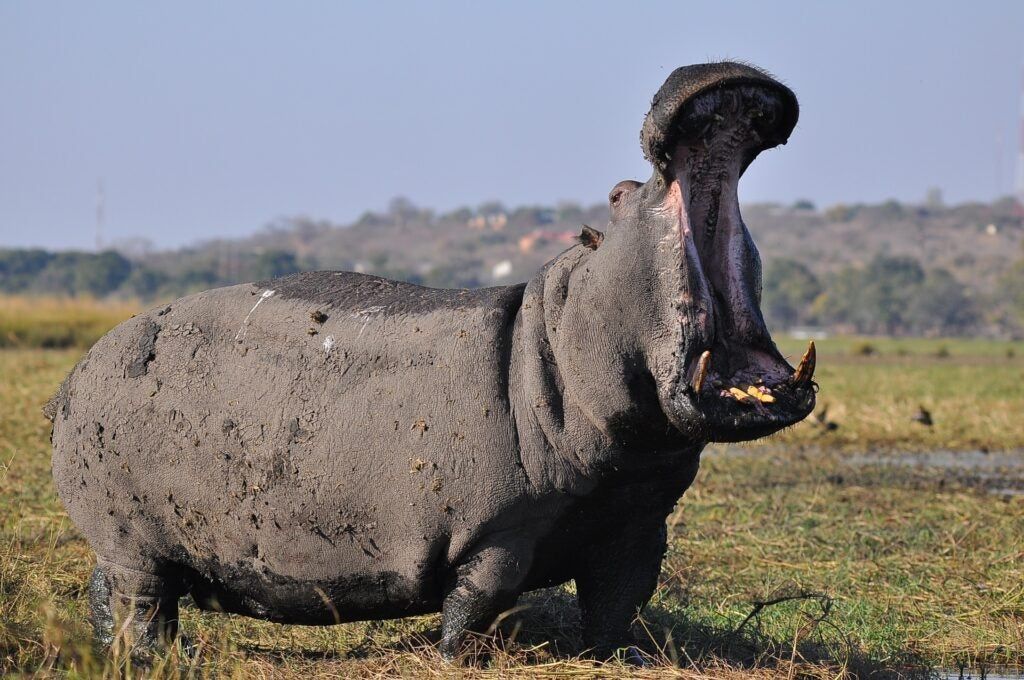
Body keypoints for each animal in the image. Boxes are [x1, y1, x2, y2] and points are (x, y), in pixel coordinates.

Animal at [48, 61, 815, 662]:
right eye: (621, 194)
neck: (563, 330)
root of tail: (76, 374)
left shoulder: (636, 522)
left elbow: (617, 603)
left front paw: (618, 658)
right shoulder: (498, 533)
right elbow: (475, 603)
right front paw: (457, 659)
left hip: (131, 546)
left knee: (110, 593)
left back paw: (111, 651)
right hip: (130, 536)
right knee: (142, 602)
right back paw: (148, 660)